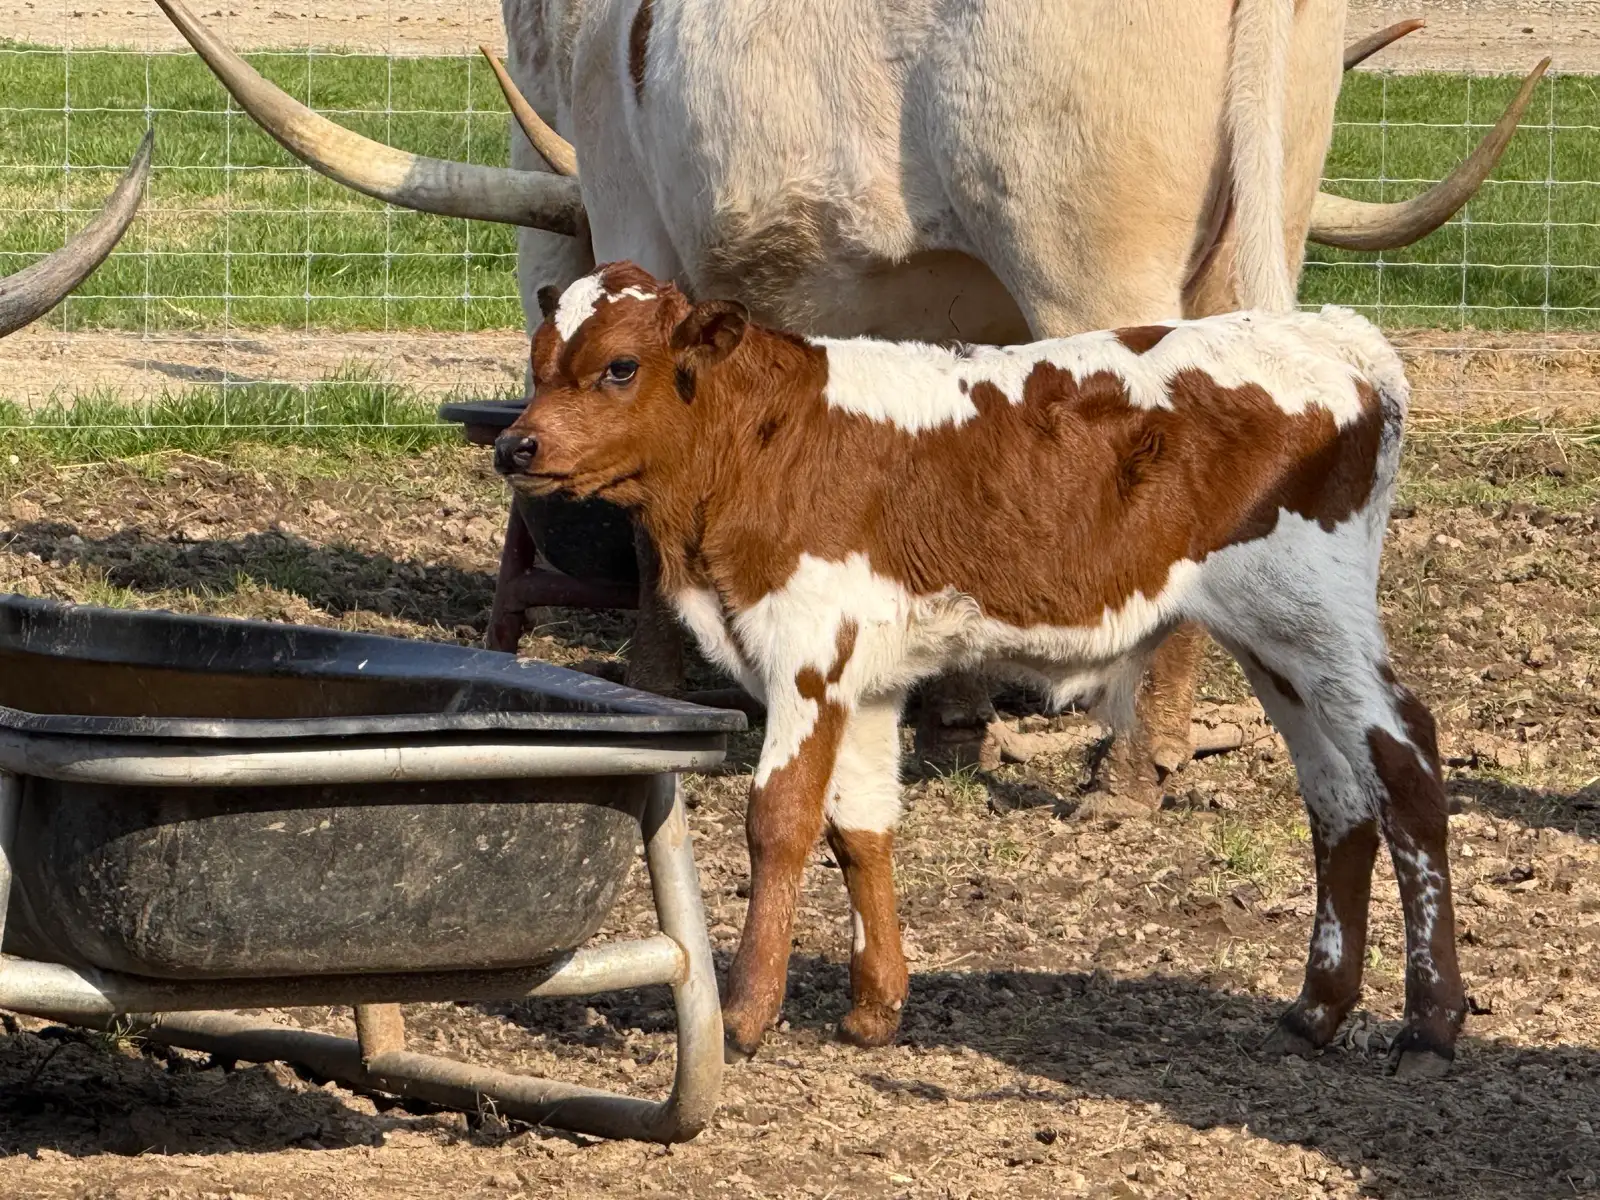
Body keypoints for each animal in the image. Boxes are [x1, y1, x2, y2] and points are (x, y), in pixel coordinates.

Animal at [156, 0, 1547, 807]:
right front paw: (951, 712)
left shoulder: (635, 205)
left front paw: (661, 676)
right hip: (1262, 219)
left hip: (1093, 263)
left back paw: (1128, 766)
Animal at [492, 260, 1465, 1078]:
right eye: (538, 364)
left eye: (620, 367)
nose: (516, 447)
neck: (761, 441)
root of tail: (1336, 335)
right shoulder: (870, 678)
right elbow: (862, 826)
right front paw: (875, 1010)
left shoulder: (809, 655)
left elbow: (781, 819)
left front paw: (743, 1017)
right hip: (1278, 641)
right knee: (1338, 798)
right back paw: (1317, 1010)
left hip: (1314, 614)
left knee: (1407, 759)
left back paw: (1430, 1023)